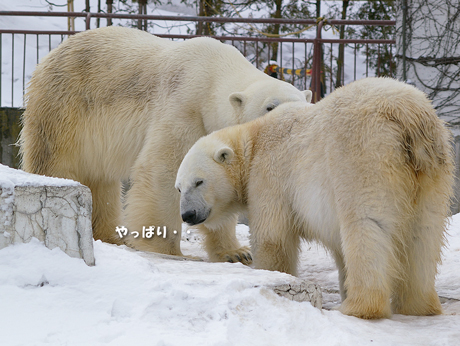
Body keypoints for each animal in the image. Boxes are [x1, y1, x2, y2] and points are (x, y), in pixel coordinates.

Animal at [18, 25, 312, 262]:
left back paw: (110, 235)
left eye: (302, 103)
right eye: (270, 106)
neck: (213, 75)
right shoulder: (184, 106)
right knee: (57, 160)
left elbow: (216, 183)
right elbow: (164, 170)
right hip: (65, 107)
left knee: (101, 179)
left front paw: (237, 253)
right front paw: (167, 250)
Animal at [176, 77, 452, 318]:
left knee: (367, 226)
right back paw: (418, 305)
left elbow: (272, 236)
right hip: (431, 168)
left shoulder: (271, 173)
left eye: (199, 181)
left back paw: (358, 307)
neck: (254, 141)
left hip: (364, 155)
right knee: (425, 234)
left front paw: (271, 273)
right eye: (179, 188)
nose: (187, 214)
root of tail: (407, 117)